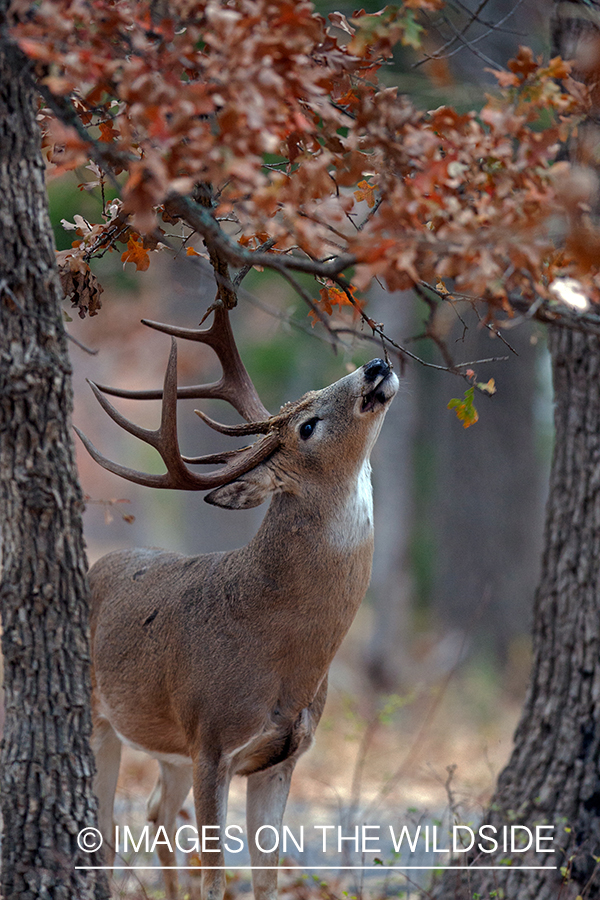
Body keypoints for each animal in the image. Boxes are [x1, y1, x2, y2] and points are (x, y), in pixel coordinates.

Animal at [78, 302, 398, 900]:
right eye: (307, 425)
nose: (375, 364)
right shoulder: (211, 740)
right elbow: (215, 876)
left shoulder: (280, 758)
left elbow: (264, 879)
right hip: (101, 718)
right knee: (105, 829)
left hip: (169, 745)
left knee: (154, 812)